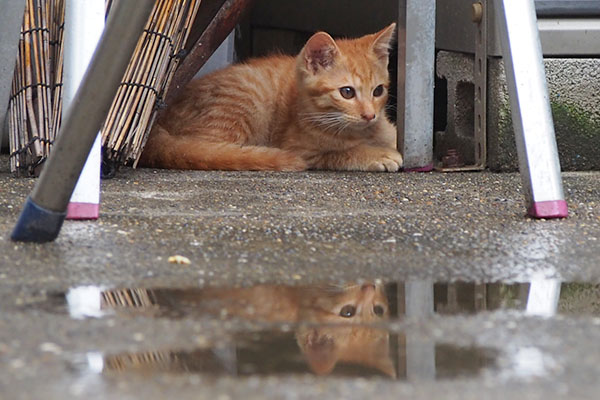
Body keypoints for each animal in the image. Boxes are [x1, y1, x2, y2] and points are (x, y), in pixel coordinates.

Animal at [139, 23, 404, 170]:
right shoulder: (302, 149)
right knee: (204, 149)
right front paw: (376, 154)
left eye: (378, 91)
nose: (369, 115)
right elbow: (340, 153)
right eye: (347, 92)